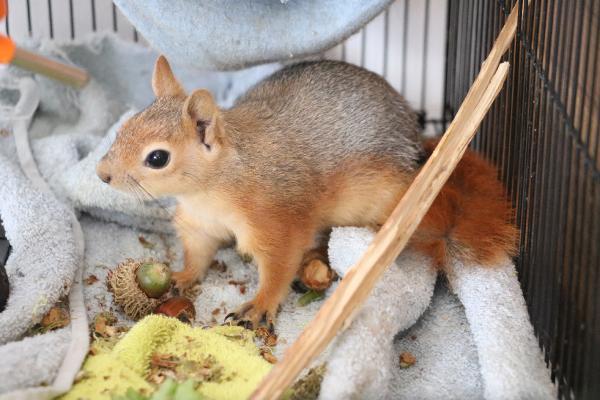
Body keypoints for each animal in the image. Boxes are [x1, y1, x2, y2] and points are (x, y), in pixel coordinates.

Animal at [96, 57, 516, 332]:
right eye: (125, 126)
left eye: (157, 158)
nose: (102, 175)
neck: (214, 186)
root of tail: (418, 147)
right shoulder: (200, 224)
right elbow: (198, 253)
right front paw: (180, 275)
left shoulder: (276, 220)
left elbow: (278, 266)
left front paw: (259, 305)